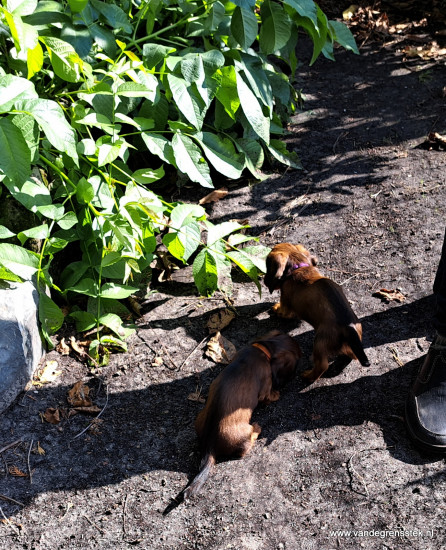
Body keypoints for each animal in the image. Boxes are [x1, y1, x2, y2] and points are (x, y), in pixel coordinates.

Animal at [183, 332, 302, 500]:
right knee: (245, 448)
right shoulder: (265, 388)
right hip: (245, 433)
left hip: (198, 418)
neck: (263, 349)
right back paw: (257, 429)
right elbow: (269, 396)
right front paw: (276, 394)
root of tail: (210, 446)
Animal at [264, 245, 370, 384]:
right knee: (352, 354)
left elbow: (282, 310)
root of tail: (349, 327)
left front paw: (275, 308)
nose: (264, 282)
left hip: (319, 343)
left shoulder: (285, 302)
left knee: (322, 366)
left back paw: (308, 376)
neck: (298, 267)